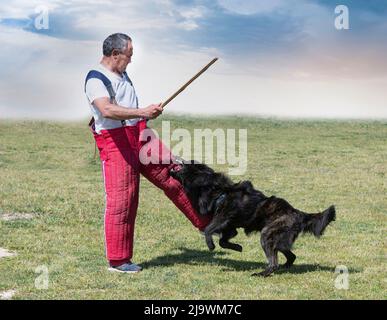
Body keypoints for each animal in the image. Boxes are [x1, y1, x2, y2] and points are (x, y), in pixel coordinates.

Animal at [170, 160, 336, 278]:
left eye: (190, 163)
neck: (217, 190)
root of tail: (298, 213)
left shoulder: (222, 218)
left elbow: (208, 230)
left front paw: (211, 246)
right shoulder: (230, 228)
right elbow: (223, 241)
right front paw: (238, 247)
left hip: (267, 235)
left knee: (273, 262)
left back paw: (262, 274)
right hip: (279, 241)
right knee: (291, 256)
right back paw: (283, 268)